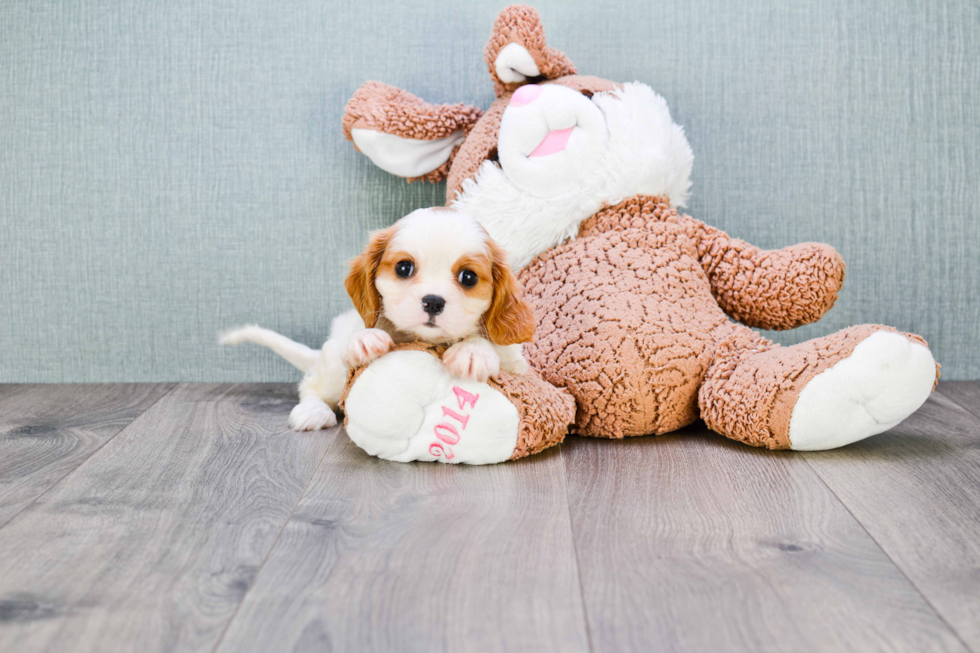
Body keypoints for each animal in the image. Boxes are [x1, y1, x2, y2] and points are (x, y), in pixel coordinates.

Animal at [222, 209, 536, 430]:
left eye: (468, 277)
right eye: (404, 268)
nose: (433, 301)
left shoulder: (518, 368)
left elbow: (493, 346)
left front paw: (472, 351)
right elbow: (364, 332)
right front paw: (364, 339)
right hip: (332, 368)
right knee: (310, 387)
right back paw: (313, 411)